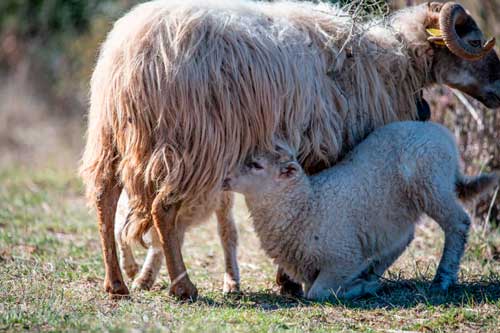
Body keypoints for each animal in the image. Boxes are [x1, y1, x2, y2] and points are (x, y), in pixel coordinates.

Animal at [225, 120, 498, 300]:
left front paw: (358, 288)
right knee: (403, 238)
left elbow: (317, 292)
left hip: (432, 183)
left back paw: (442, 278)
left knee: (458, 224)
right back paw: (373, 272)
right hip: (401, 207)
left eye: (257, 165)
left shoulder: (343, 257)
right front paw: (363, 282)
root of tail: (442, 133)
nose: (225, 178)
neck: (308, 206)